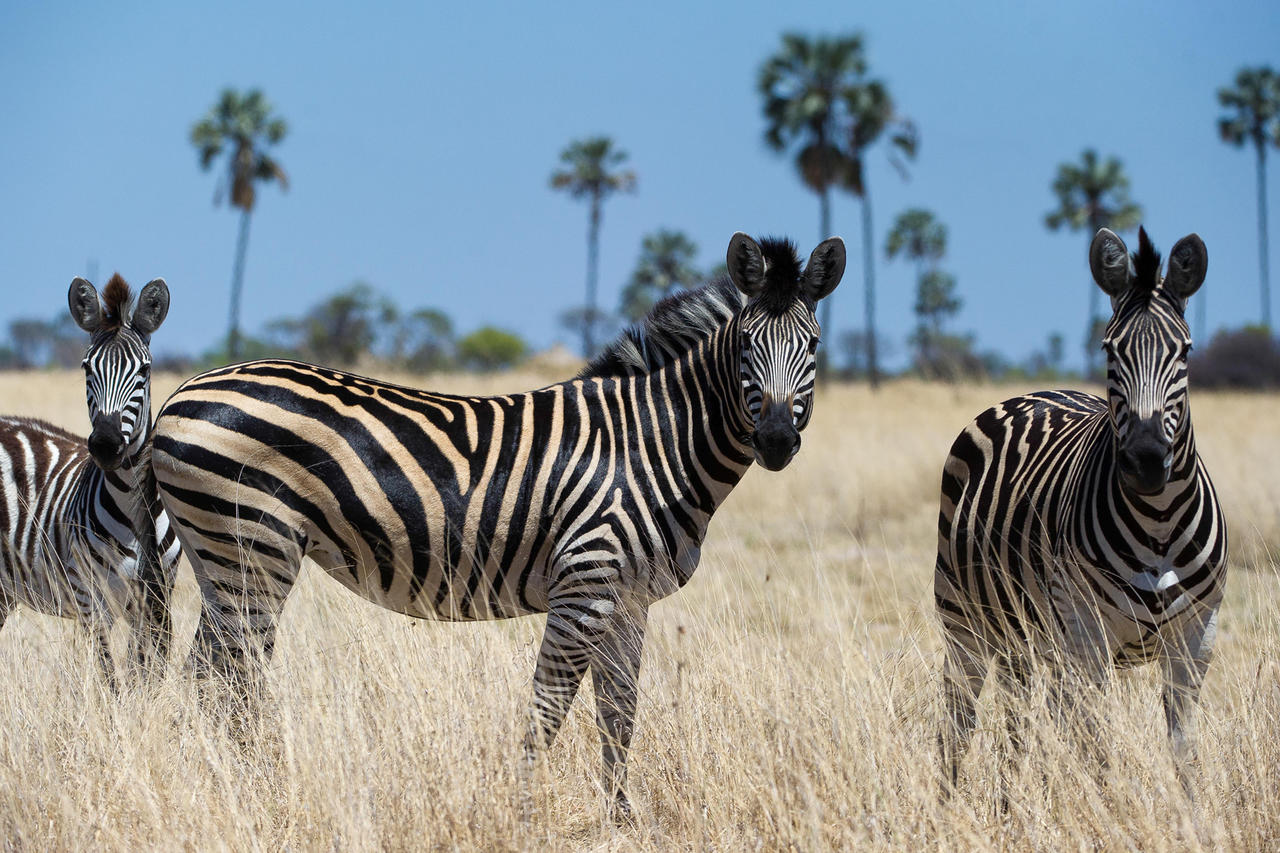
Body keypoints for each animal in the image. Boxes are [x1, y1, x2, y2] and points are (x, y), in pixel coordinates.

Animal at [0, 274, 181, 686]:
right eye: (86, 368)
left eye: (144, 372)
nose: (105, 445)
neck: (134, 506)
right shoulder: (92, 601)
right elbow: (111, 680)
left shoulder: (157, 600)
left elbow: (145, 677)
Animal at [150, 231, 845, 820]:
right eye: (747, 347)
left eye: (813, 347)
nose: (776, 441)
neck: (654, 443)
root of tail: (184, 390)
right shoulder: (585, 585)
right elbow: (549, 708)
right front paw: (525, 811)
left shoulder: (629, 597)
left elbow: (619, 712)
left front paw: (620, 820)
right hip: (253, 550)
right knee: (236, 681)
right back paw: (260, 792)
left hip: (225, 561)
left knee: (206, 677)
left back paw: (207, 784)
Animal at [934, 226, 1226, 801]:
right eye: (1110, 349)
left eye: (1184, 351)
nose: (1145, 461)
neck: (1159, 522)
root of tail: (1034, 391)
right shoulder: (1087, 636)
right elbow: (1098, 753)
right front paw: (1109, 810)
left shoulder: (1195, 638)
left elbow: (1183, 752)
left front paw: (1192, 816)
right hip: (966, 621)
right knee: (963, 720)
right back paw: (951, 802)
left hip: (1032, 642)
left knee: (1023, 722)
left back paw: (1015, 802)